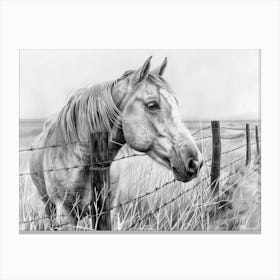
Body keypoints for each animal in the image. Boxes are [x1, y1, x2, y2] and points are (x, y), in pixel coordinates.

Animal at [29, 55, 203, 229]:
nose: (195, 162)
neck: (83, 158)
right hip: (49, 206)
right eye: (152, 105)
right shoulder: (65, 215)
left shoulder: (108, 208)